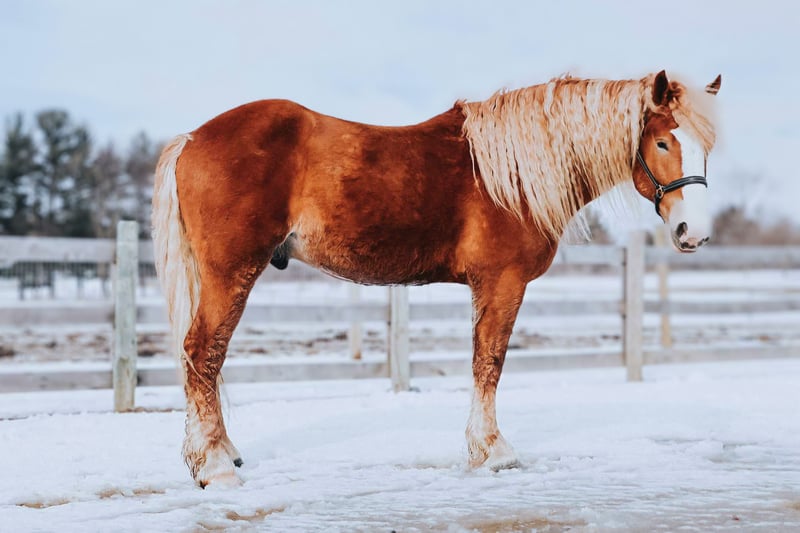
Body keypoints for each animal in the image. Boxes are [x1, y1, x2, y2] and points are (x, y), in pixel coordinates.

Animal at [152, 70, 722, 487]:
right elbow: (489, 363)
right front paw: (493, 453)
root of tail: (192, 138)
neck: (510, 173)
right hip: (231, 271)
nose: (693, 233)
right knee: (203, 352)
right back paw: (215, 468)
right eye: (663, 142)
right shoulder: (501, 282)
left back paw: (221, 453)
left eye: (706, 146)